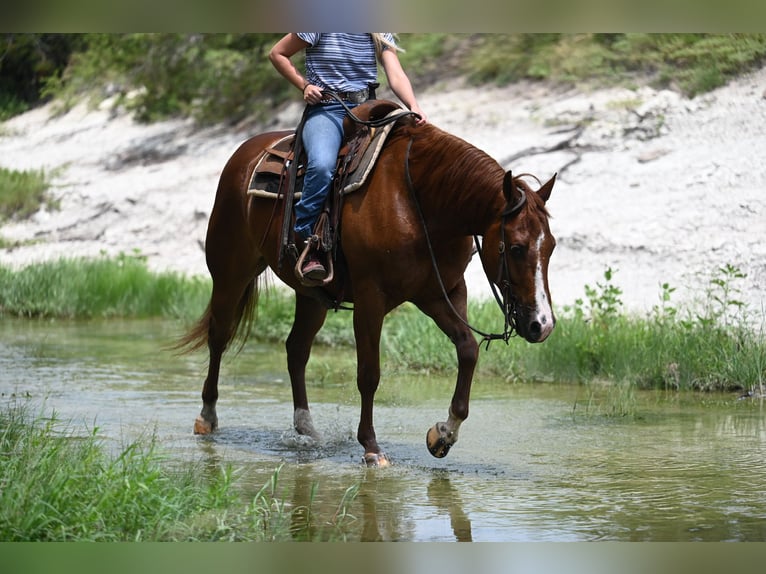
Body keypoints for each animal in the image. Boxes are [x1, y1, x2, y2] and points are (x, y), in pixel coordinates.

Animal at [179, 104, 557, 467]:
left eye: (551, 246)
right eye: (517, 247)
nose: (542, 325)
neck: (420, 203)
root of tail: (244, 154)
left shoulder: (440, 293)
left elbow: (468, 350)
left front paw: (443, 435)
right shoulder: (370, 299)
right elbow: (369, 373)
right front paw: (372, 448)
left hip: (311, 296)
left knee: (296, 349)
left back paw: (306, 427)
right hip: (231, 272)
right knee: (219, 336)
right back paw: (207, 417)